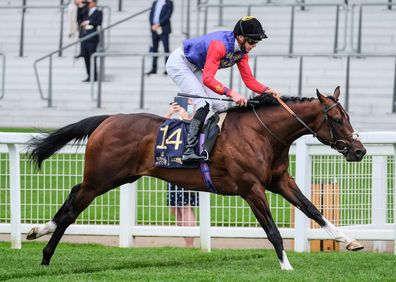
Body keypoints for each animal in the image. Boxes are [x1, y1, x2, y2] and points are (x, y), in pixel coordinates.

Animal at [26, 86, 366, 270]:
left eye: (349, 117)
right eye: (338, 119)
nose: (359, 150)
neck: (262, 134)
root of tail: (107, 119)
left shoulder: (280, 181)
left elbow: (313, 210)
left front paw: (349, 240)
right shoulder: (251, 188)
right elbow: (272, 230)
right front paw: (287, 266)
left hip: (116, 177)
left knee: (73, 196)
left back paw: (42, 244)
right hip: (101, 178)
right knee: (71, 209)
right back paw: (42, 246)